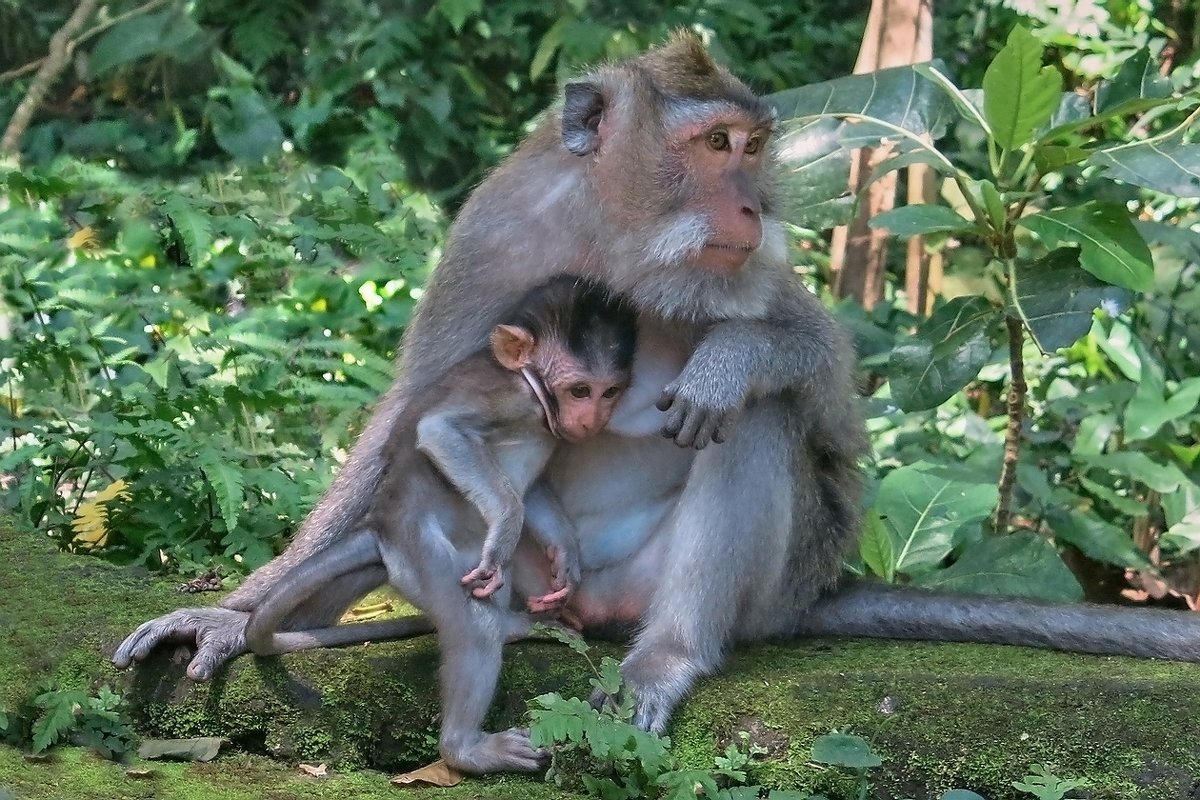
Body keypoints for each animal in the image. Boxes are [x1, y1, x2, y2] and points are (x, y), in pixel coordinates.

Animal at [242, 278, 638, 662]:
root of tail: (380, 526)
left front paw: (565, 557)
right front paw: (504, 531)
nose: (592, 421)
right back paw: (510, 627)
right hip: (424, 569)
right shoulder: (512, 398)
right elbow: (439, 431)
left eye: (610, 392)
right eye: (580, 391)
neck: (530, 383)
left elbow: (532, 491)